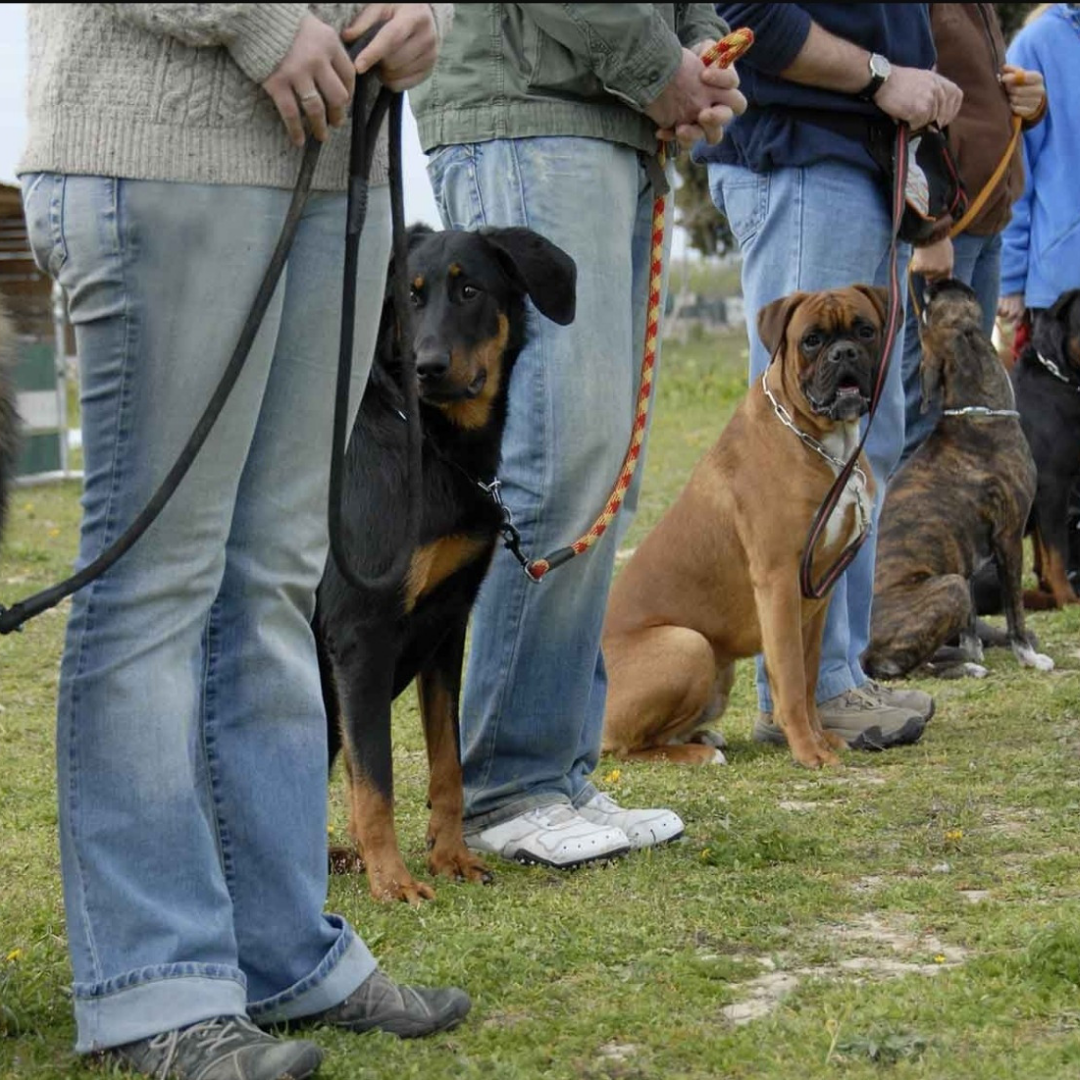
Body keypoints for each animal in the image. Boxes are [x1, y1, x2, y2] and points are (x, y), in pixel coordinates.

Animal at [315, 221, 578, 902]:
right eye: (407, 298)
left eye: (469, 290)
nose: (427, 367)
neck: (429, 441)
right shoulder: (361, 635)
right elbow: (375, 780)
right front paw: (393, 880)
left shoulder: (446, 623)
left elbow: (447, 764)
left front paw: (450, 857)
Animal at [600, 282, 885, 764]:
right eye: (811, 340)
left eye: (865, 330)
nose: (844, 352)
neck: (823, 443)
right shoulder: (779, 582)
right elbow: (790, 678)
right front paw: (808, 751)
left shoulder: (817, 594)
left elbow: (809, 676)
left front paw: (821, 737)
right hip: (687, 644)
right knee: (627, 747)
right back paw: (697, 754)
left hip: (719, 672)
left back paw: (702, 738)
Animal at [864, 282, 1049, 678]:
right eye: (933, 303)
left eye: (925, 310)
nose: (932, 282)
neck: (975, 414)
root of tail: (861, 654)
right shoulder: (1009, 539)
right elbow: (1015, 610)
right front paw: (1028, 656)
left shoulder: (964, 557)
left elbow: (971, 624)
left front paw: (975, 648)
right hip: (949, 587)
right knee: (911, 668)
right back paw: (964, 669)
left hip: (954, 582)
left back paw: (963, 659)